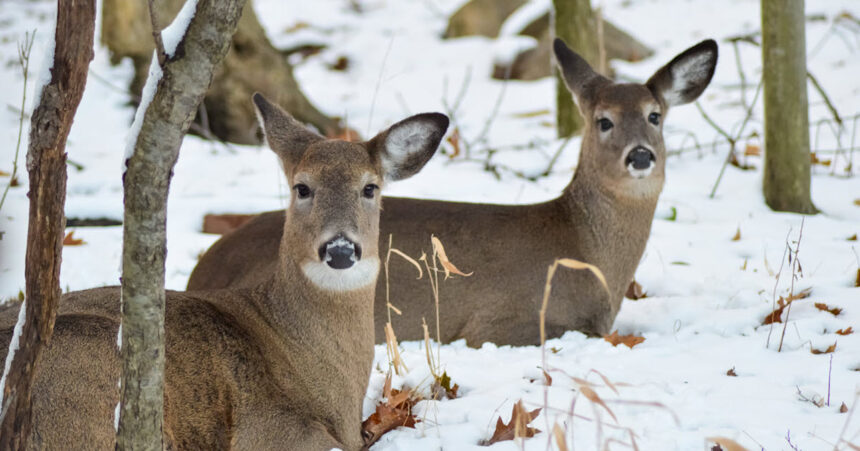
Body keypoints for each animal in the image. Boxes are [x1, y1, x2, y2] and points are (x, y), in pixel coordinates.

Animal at [190, 39, 720, 350]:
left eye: (655, 115)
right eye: (604, 120)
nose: (640, 156)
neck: (584, 252)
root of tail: (204, 266)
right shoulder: (502, 324)